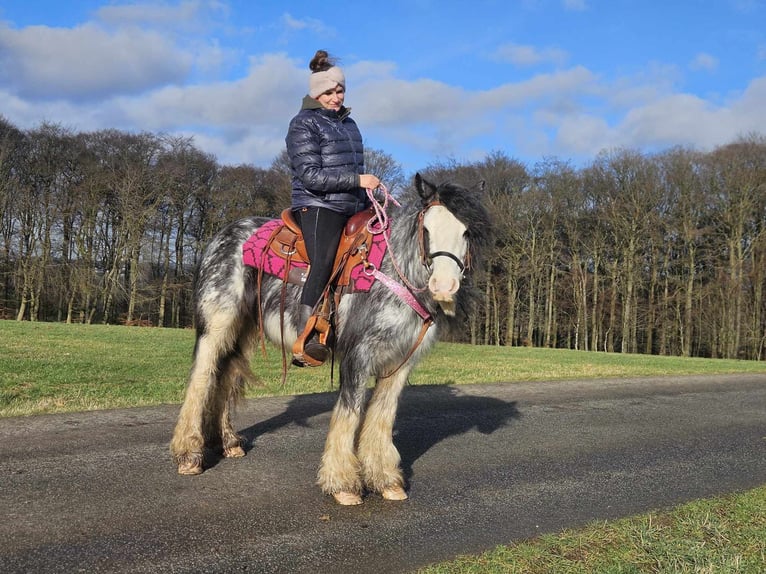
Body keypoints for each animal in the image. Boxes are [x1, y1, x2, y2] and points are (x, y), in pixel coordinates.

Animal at [170, 173, 492, 506]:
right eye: (426, 229)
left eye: (466, 232)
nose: (444, 286)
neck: (394, 273)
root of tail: (221, 237)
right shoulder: (358, 355)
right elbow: (349, 414)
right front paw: (343, 483)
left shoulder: (400, 361)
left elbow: (382, 416)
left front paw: (386, 480)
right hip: (217, 324)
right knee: (201, 378)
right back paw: (189, 455)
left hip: (243, 329)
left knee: (225, 376)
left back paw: (228, 442)